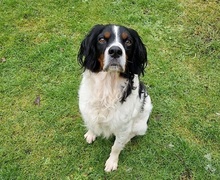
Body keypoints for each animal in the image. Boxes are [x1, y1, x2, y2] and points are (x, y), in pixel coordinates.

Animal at [78, 23, 153, 172]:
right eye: (102, 39)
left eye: (128, 41)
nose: (115, 51)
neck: (107, 86)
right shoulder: (87, 109)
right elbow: (91, 123)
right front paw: (91, 134)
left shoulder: (123, 126)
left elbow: (116, 147)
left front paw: (111, 162)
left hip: (141, 125)